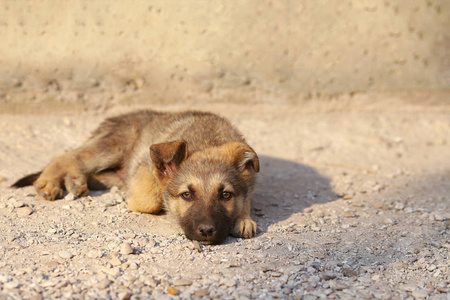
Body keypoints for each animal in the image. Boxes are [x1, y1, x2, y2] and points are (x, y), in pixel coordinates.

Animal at [12, 110, 260, 244]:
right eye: (187, 195)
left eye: (226, 195)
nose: (207, 231)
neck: (208, 141)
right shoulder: (143, 168)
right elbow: (149, 200)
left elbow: (246, 198)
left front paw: (243, 219)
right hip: (112, 147)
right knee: (68, 156)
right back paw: (51, 182)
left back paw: (76, 181)